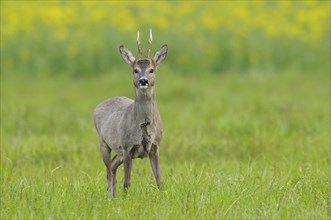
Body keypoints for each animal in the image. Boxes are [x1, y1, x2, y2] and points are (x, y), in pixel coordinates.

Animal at [93, 30, 167, 197]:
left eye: (152, 70)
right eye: (135, 70)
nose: (143, 81)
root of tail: (97, 107)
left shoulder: (155, 146)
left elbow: (159, 181)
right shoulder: (127, 147)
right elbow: (127, 182)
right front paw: (125, 199)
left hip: (118, 151)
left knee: (113, 166)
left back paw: (112, 195)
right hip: (103, 142)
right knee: (108, 170)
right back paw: (110, 196)